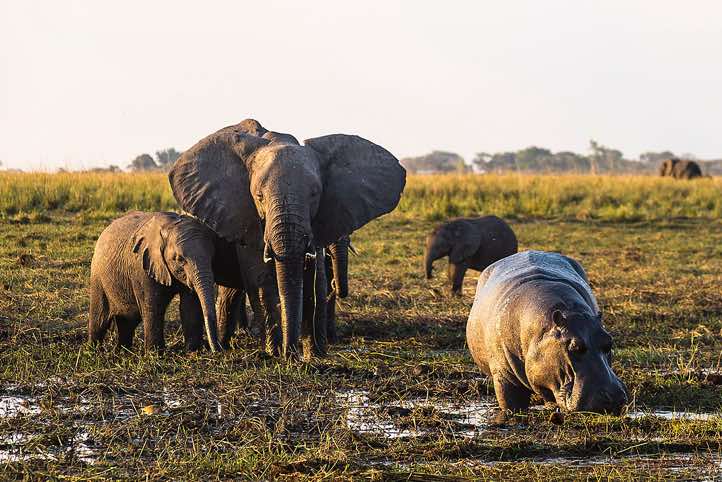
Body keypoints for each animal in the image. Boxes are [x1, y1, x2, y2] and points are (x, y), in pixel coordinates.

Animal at [88, 211, 225, 352]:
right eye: (179, 259)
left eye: (212, 257)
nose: (217, 349)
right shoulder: (143, 266)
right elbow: (154, 306)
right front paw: (155, 352)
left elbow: (190, 305)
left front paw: (192, 350)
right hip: (97, 277)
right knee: (99, 319)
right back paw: (93, 350)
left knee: (128, 320)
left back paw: (122, 350)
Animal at [168, 119, 406, 359]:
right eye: (259, 196)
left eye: (314, 194)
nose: (290, 352)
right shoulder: (246, 216)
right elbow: (261, 280)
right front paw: (274, 353)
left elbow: (314, 282)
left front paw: (313, 355)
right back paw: (227, 345)